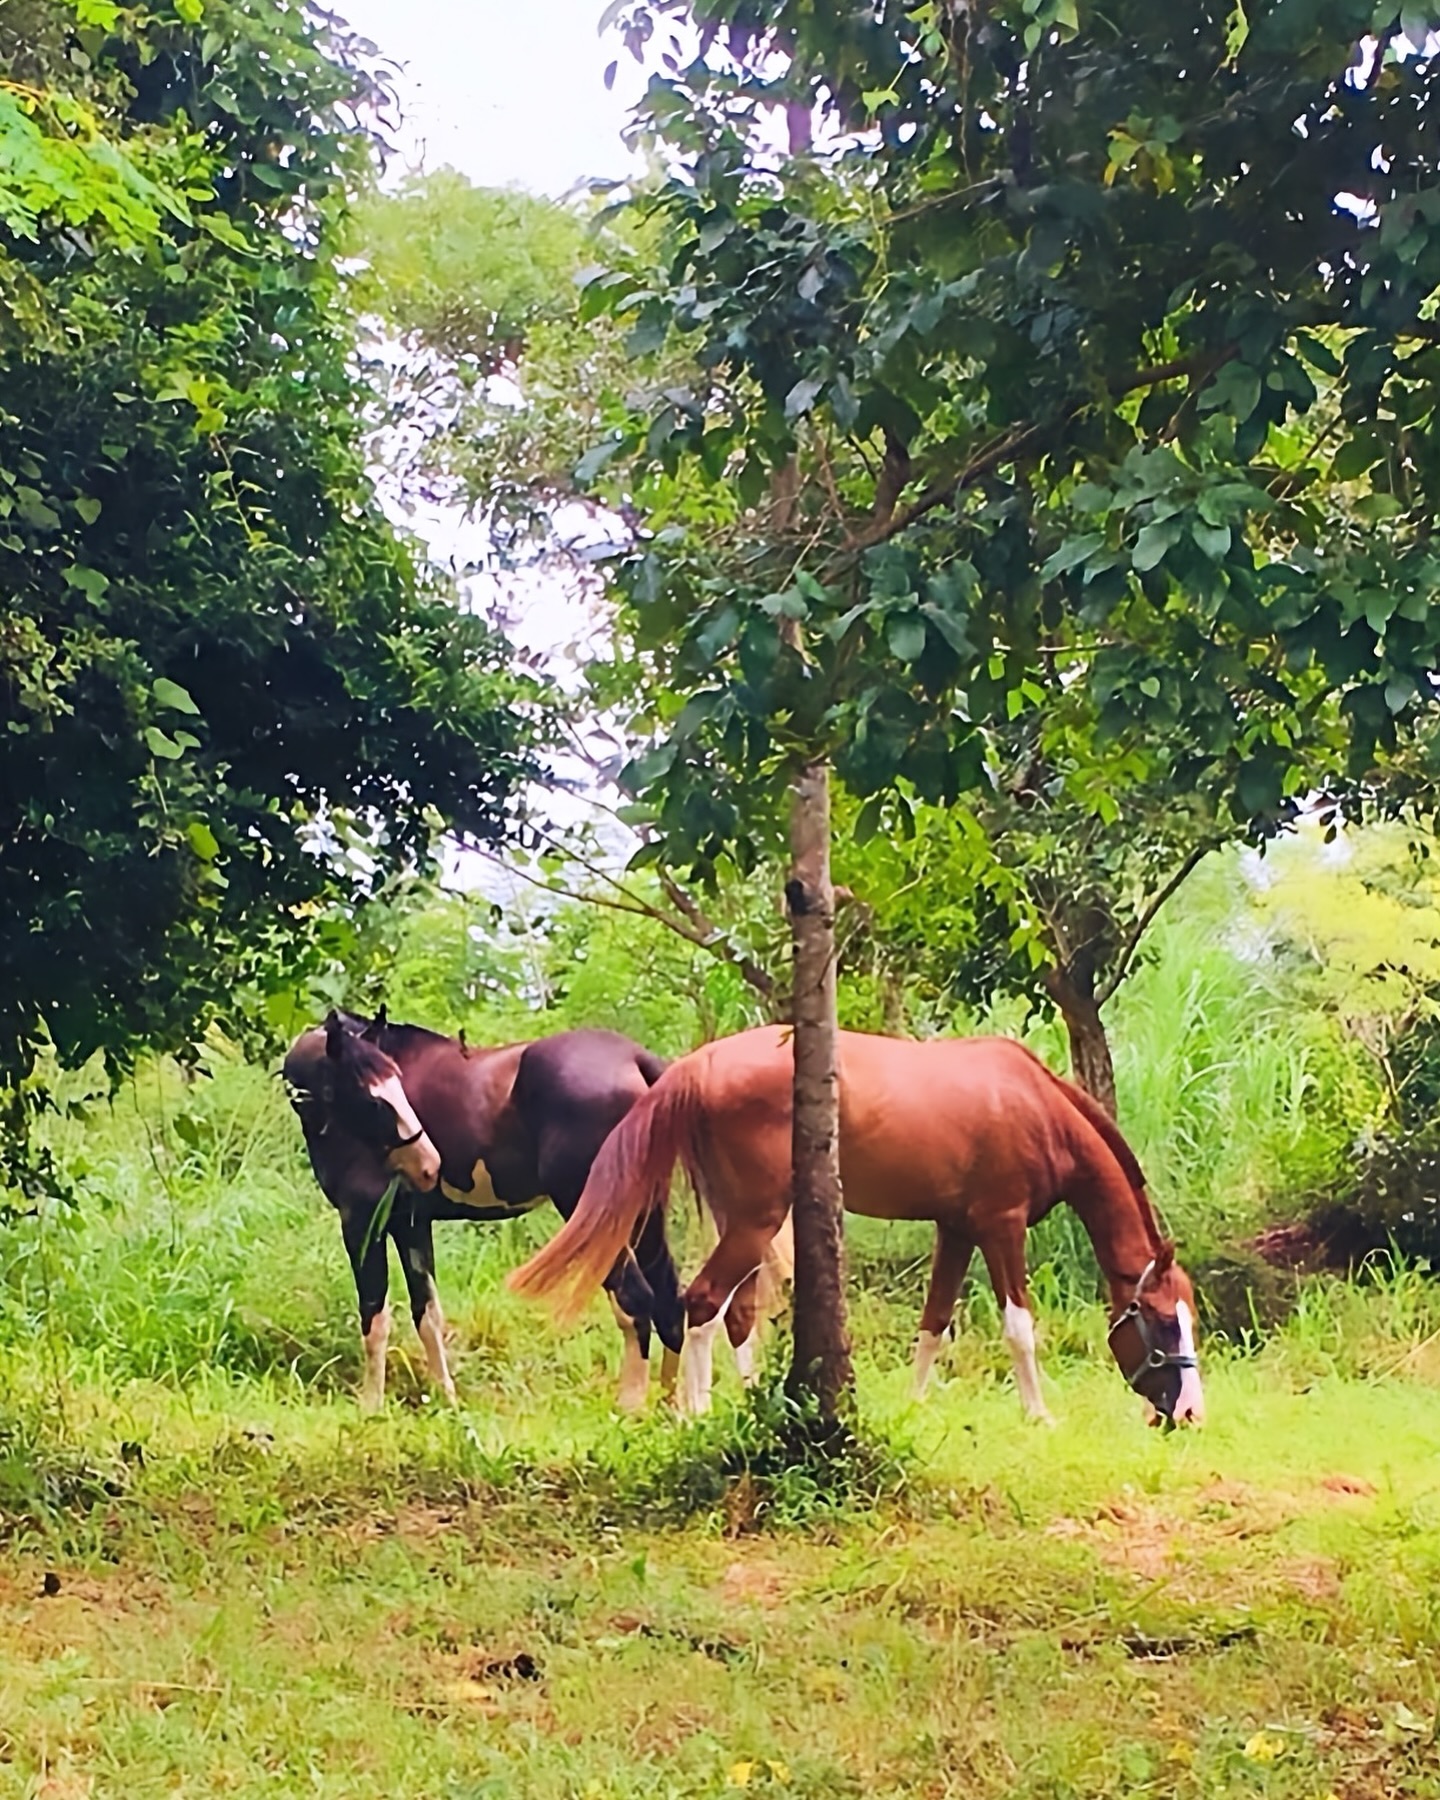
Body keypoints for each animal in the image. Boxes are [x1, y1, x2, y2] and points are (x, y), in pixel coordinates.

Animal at [283, 1011, 687, 1413]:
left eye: (388, 1089)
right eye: (372, 1097)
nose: (430, 1165)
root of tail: (637, 1061)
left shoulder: (363, 1222)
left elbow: (375, 1317)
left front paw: (371, 1407)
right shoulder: (410, 1225)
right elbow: (427, 1313)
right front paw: (445, 1398)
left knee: (636, 1301)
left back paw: (630, 1408)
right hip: (643, 1218)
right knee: (670, 1303)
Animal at [510, 1026, 1205, 1427]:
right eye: (1162, 1320)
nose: (1192, 1411)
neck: (1034, 1105)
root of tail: (697, 1066)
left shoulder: (956, 1229)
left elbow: (933, 1322)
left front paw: (916, 1406)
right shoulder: (1000, 1227)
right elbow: (1019, 1329)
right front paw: (1038, 1415)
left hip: (740, 1219)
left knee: (728, 1311)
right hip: (756, 1219)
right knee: (701, 1303)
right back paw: (695, 1411)